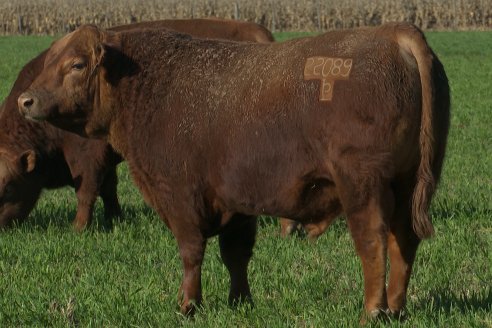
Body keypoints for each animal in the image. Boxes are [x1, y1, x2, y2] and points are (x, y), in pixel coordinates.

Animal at [0, 17, 276, 228]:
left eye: (8, 187)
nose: (26, 101)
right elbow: (109, 190)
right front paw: (114, 218)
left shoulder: (87, 155)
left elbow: (87, 191)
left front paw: (78, 227)